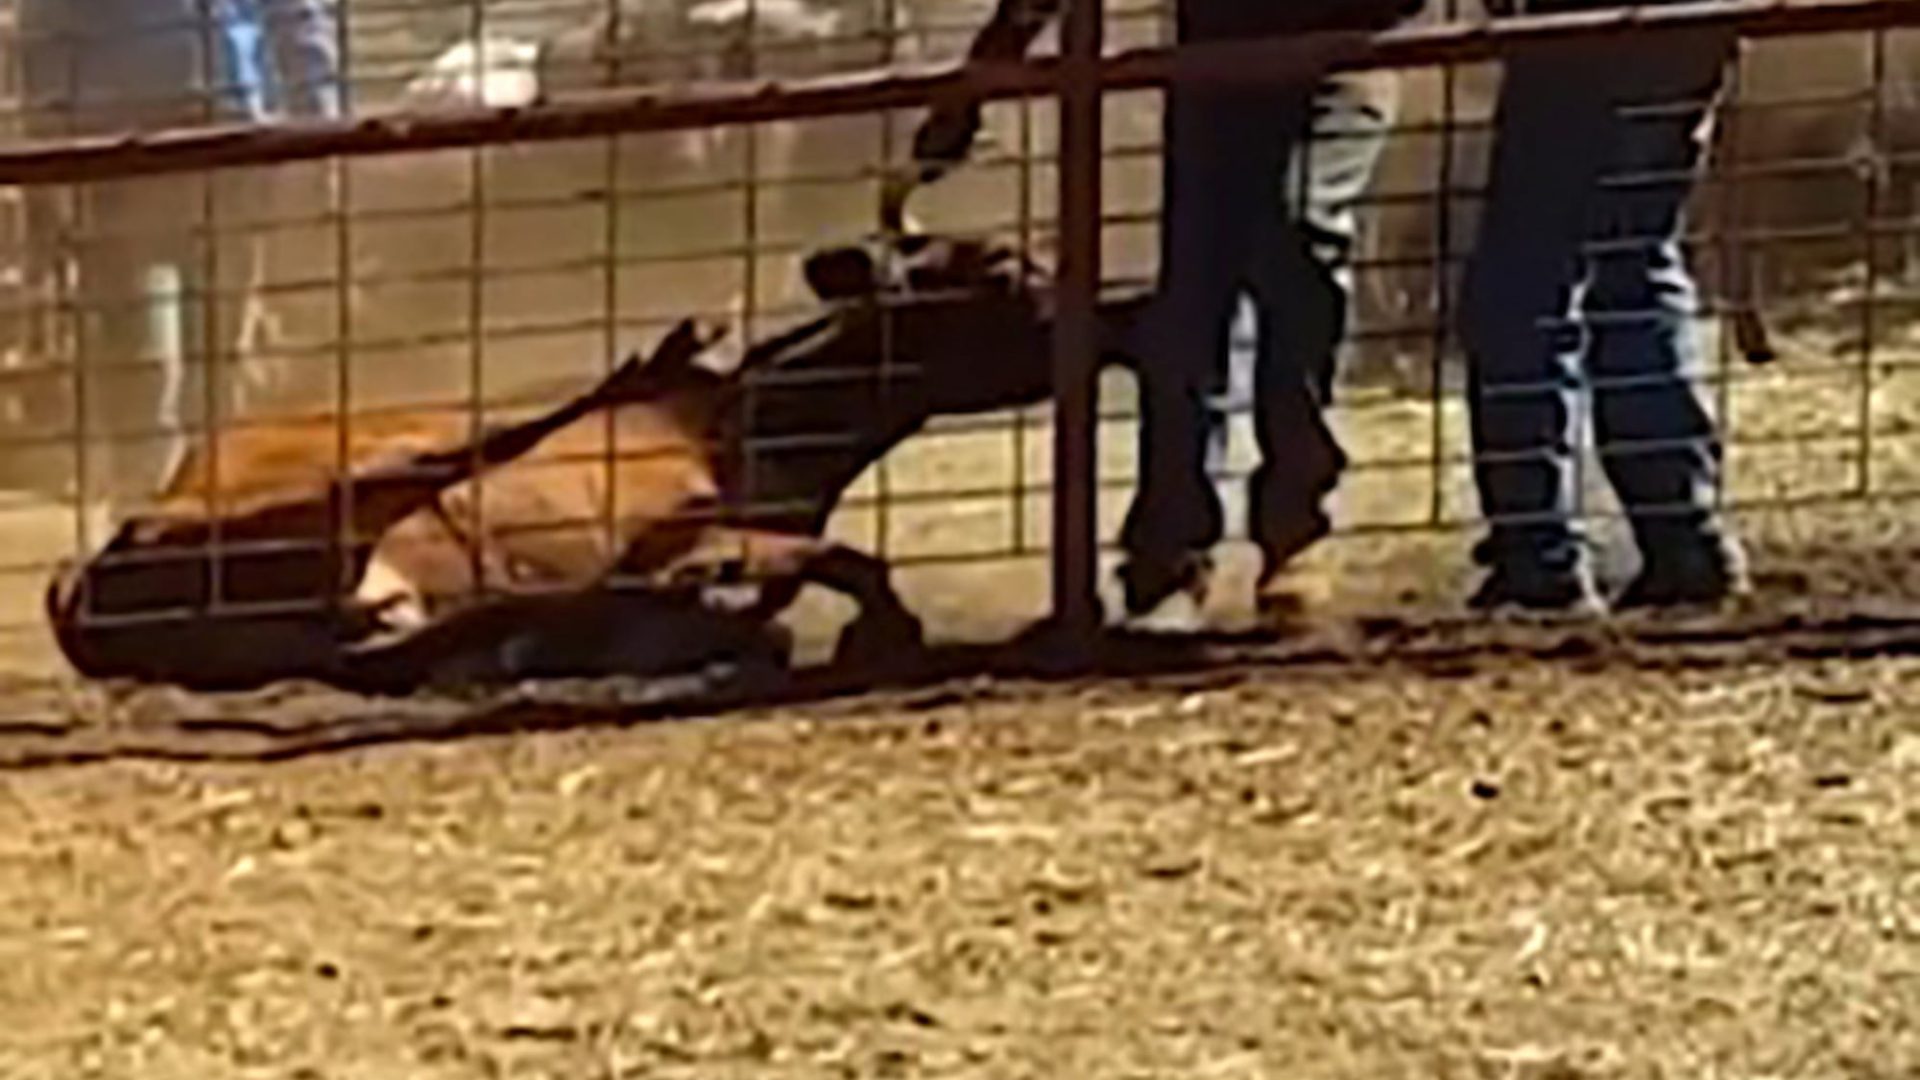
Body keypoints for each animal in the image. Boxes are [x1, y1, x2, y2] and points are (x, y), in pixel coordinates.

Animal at [45, 231, 1144, 691]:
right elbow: (842, 568)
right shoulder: (676, 532)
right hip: (354, 474)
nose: (1125, 307)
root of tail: (86, 574)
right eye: (1002, 269)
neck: (751, 426)